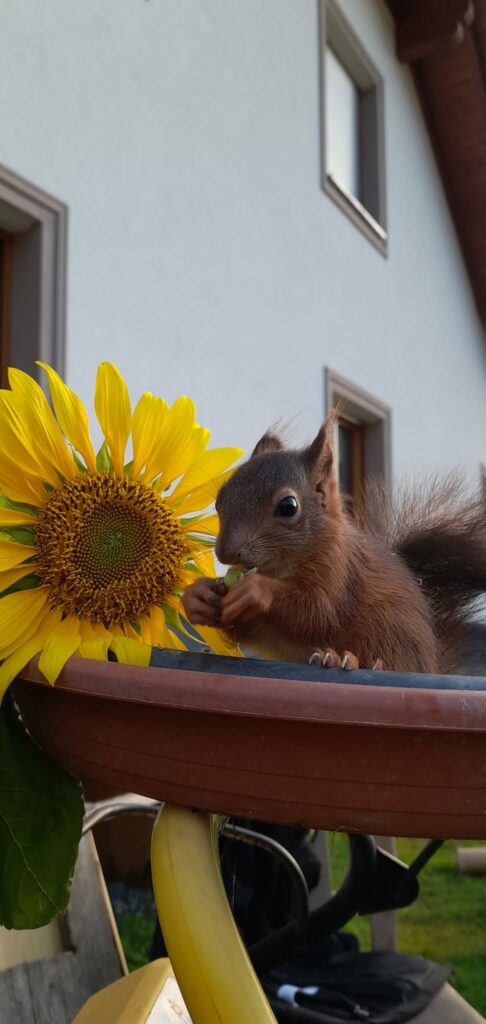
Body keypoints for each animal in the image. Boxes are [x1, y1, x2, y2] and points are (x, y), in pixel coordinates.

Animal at [182, 415, 486, 674]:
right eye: (220, 500)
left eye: (288, 506)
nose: (225, 553)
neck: (281, 567)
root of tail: (433, 665)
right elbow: (247, 627)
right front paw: (196, 596)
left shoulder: (340, 573)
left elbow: (318, 611)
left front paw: (256, 589)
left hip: (393, 640)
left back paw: (347, 660)